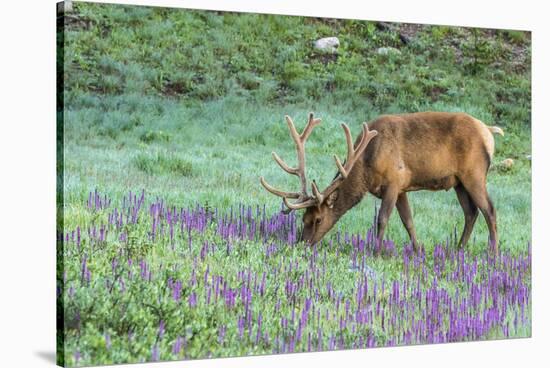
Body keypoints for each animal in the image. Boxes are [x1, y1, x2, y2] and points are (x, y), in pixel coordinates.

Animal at [260, 112, 506, 253]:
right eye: (304, 218)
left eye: (318, 219)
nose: (302, 243)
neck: (366, 167)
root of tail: (489, 131)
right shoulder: (403, 188)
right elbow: (408, 220)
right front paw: (418, 250)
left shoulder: (394, 182)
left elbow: (383, 219)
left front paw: (376, 252)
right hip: (458, 182)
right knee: (471, 212)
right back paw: (458, 250)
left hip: (474, 173)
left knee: (489, 210)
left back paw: (492, 254)